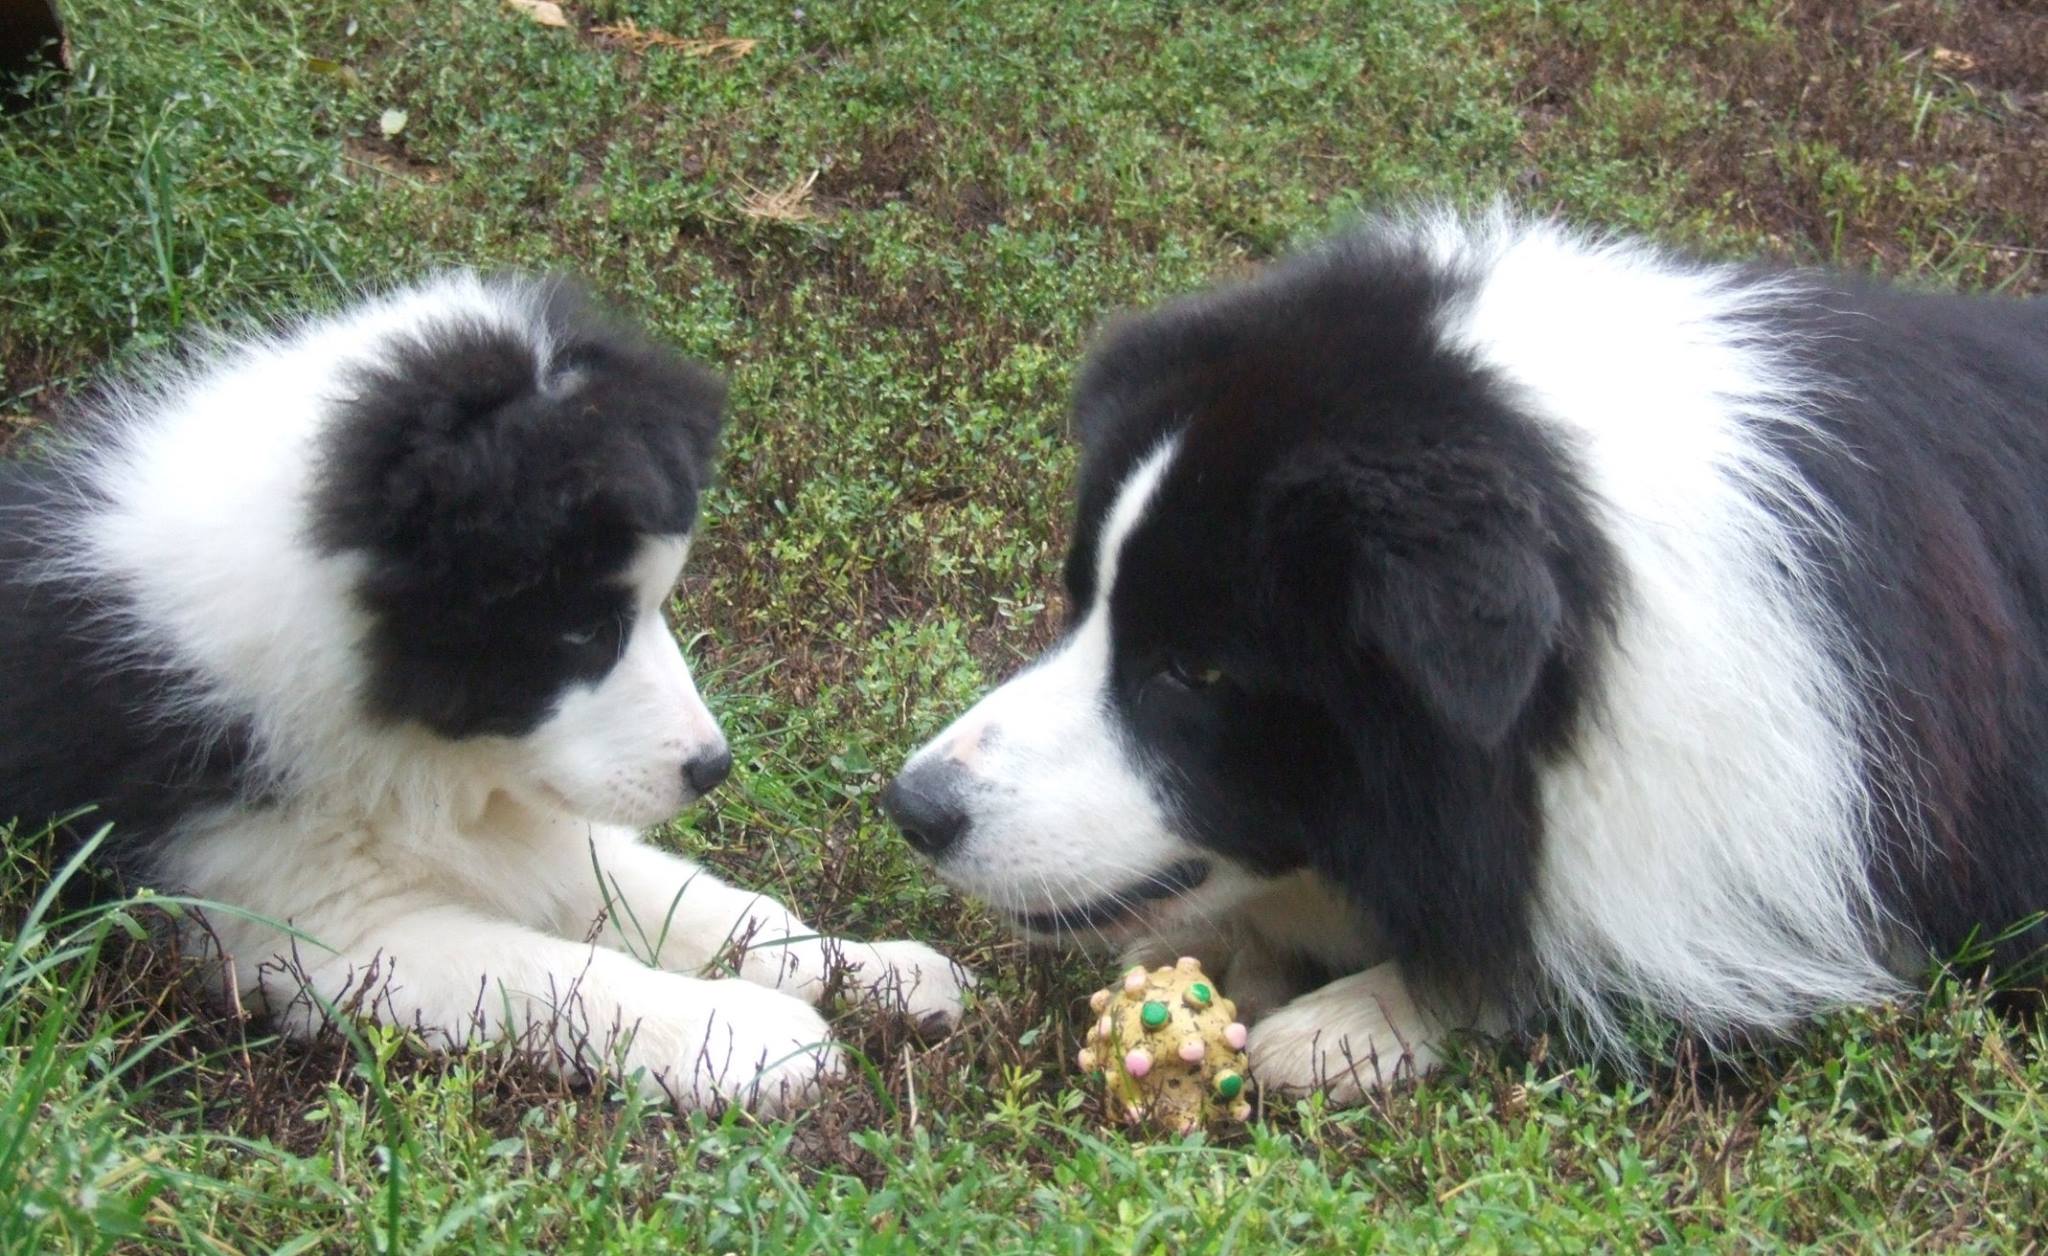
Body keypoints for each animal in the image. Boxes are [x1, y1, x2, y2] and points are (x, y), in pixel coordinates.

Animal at [0, 274, 966, 1106]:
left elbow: (700, 904)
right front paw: (749, 1039)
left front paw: (880, 971)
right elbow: (554, 973)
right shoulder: (315, 924)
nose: (712, 769)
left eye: (656, 605)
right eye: (582, 631)